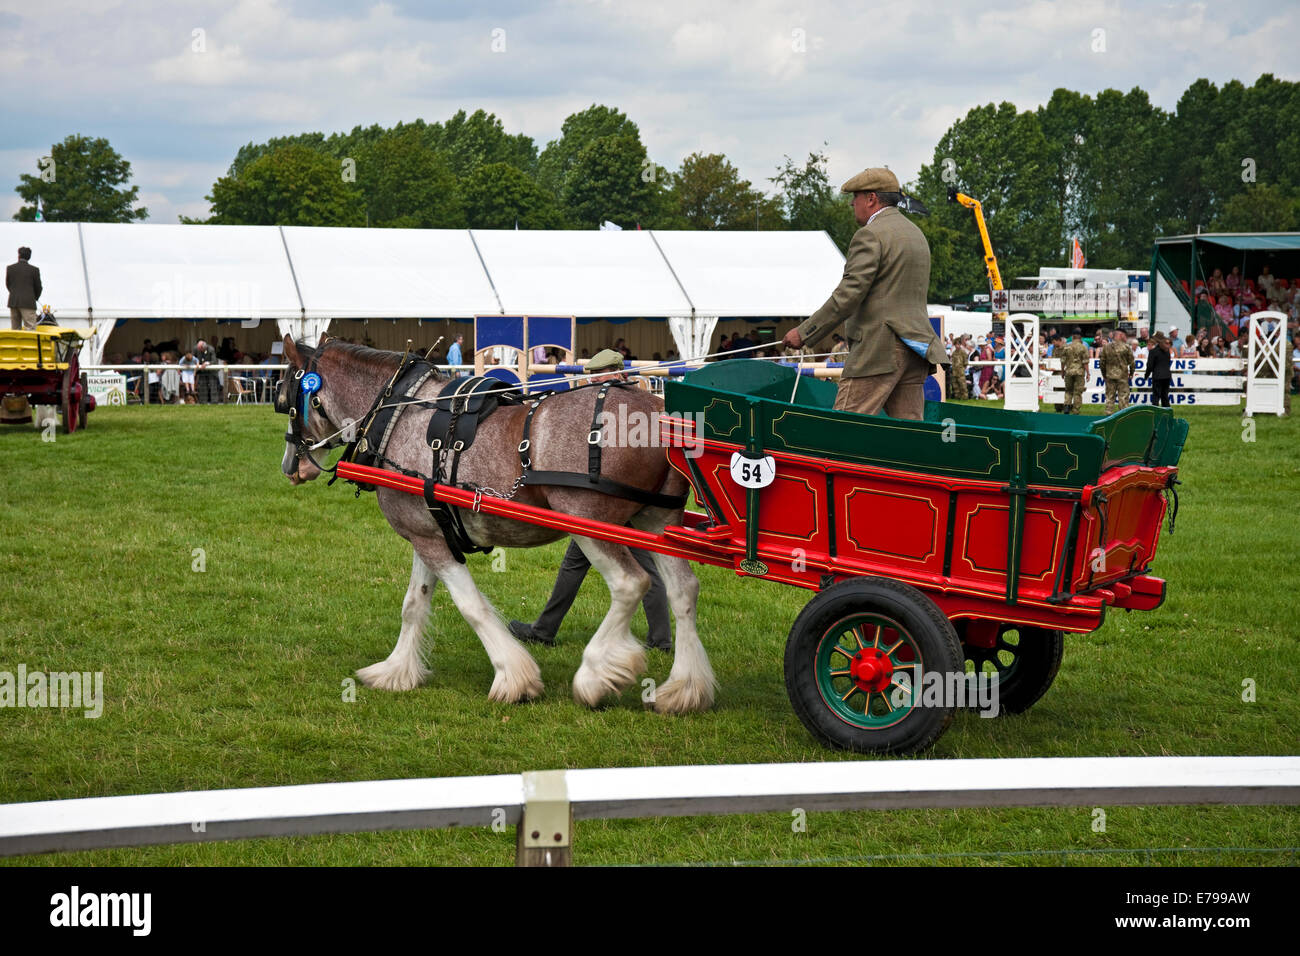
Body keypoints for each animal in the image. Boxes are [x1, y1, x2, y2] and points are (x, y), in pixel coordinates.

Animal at [277, 334, 716, 714]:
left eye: (284, 399)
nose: (289, 467)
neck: (397, 414)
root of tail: (658, 414)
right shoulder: (427, 532)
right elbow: (414, 604)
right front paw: (395, 671)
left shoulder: (432, 541)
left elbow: (470, 607)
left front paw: (513, 677)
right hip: (657, 521)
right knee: (683, 589)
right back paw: (684, 689)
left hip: (588, 522)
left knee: (630, 584)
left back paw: (594, 675)